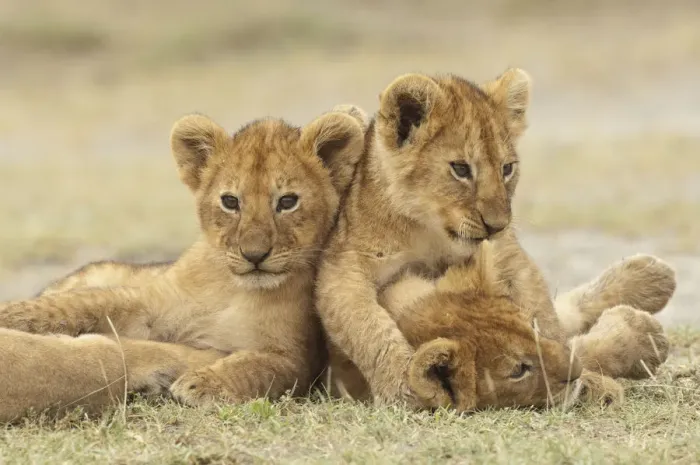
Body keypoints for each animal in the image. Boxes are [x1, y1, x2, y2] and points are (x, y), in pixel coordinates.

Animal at [0, 108, 366, 423]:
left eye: (287, 202)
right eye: (230, 201)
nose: (254, 255)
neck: (235, 289)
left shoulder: (297, 357)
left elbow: (259, 367)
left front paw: (199, 383)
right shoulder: (151, 303)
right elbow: (83, 304)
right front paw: (15, 315)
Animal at [313, 67, 676, 406]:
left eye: (507, 168)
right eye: (460, 169)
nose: (497, 224)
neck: (429, 230)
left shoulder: (505, 253)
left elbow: (544, 314)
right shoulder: (343, 267)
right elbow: (366, 326)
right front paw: (402, 383)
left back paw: (651, 278)